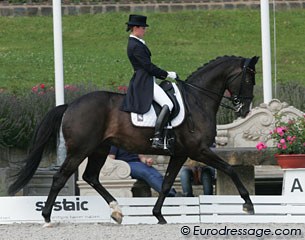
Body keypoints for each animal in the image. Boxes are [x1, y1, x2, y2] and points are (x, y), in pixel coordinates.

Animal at [8, 55, 258, 226]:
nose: (245, 109)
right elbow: (230, 169)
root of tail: (70, 105)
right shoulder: (199, 151)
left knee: (91, 177)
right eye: (249, 79)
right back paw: (47, 217)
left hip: (99, 149)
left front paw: (159, 215)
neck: (197, 100)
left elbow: (166, 183)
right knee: (60, 178)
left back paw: (117, 211)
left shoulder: (180, 154)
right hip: (81, 150)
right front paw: (248, 204)